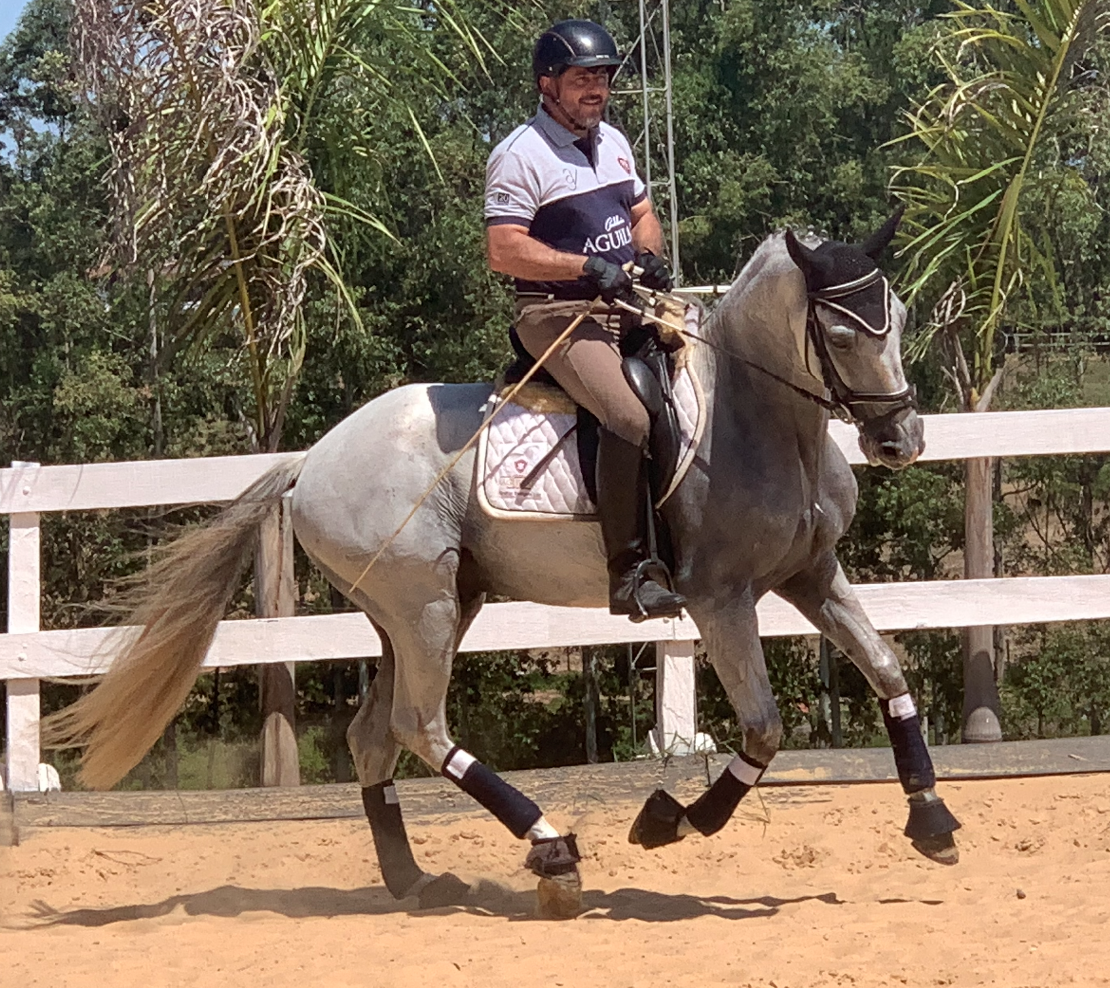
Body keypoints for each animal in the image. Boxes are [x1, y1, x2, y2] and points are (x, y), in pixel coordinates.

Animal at [47, 216, 960, 915]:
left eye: (899, 315)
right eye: (838, 333)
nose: (900, 440)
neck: (757, 420)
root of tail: (310, 460)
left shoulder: (813, 574)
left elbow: (887, 668)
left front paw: (931, 820)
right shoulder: (720, 599)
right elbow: (766, 727)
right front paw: (669, 821)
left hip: (437, 608)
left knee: (372, 735)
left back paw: (412, 880)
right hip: (422, 606)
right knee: (419, 728)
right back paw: (553, 853)